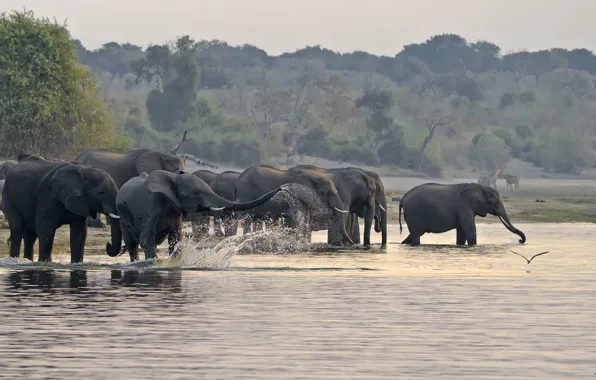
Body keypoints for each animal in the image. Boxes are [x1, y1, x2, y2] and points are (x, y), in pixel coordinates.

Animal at [116, 170, 284, 262]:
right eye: (194, 193)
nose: (282, 188)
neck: (172, 178)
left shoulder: (175, 211)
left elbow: (176, 240)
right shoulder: (151, 206)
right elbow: (146, 240)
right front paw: (156, 263)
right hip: (123, 218)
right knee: (132, 245)